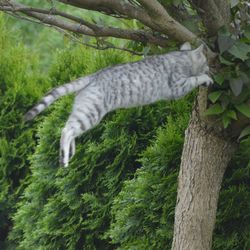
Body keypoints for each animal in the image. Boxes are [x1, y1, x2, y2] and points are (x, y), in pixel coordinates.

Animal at [24, 42, 213, 168]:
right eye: (207, 63)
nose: (211, 69)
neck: (180, 56)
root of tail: (93, 76)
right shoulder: (178, 85)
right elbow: (194, 78)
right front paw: (206, 78)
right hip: (91, 112)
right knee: (66, 130)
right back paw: (63, 158)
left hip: (83, 110)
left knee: (69, 128)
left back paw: (70, 152)